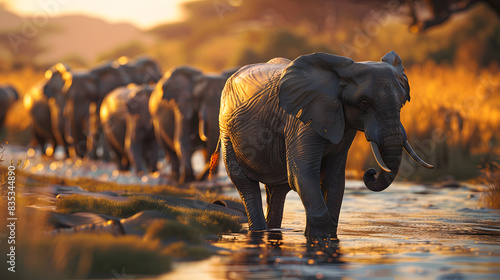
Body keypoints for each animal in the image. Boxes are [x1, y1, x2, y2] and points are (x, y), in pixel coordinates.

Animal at [215, 51, 434, 237]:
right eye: (363, 102)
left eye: (402, 102)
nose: (370, 173)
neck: (340, 73)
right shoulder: (300, 120)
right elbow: (302, 174)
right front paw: (319, 240)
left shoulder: (343, 123)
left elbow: (334, 179)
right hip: (226, 132)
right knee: (246, 184)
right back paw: (258, 231)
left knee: (277, 190)